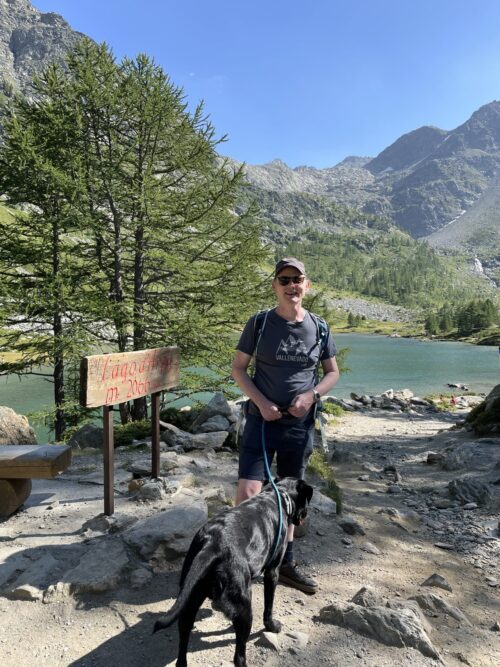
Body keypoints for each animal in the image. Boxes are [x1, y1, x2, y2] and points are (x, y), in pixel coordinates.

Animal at [154, 478, 314, 667]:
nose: (306, 515)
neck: (279, 496)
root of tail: (212, 544)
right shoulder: (272, 572)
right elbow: (268, 606)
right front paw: (272, 626)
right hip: (245, 606)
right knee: (239, 656)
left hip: (190, 599)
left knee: (183, 644)